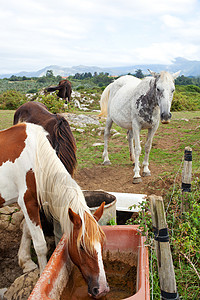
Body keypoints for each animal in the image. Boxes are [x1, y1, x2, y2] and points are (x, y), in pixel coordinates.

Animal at [0, 123, 109, 298]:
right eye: (81, 247)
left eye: (101, 243)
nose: (102, 289)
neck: (35, 156)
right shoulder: (27, 202)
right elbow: (40, 245)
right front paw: (42, 276)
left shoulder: (30, 204)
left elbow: (27, 230)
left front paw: (25, 262)